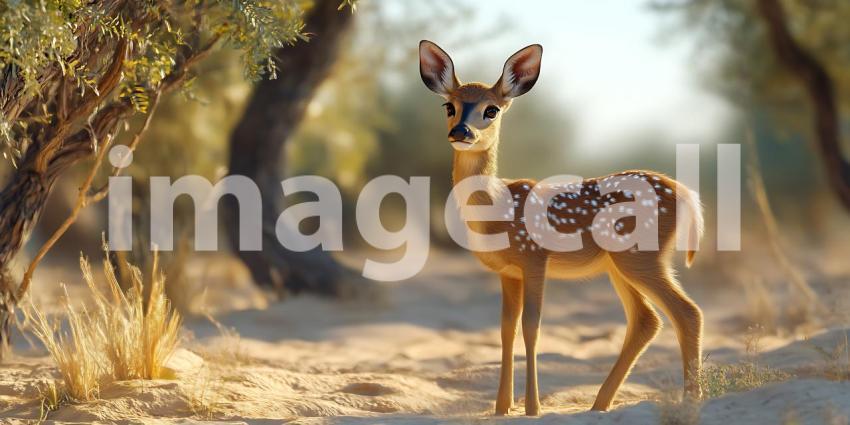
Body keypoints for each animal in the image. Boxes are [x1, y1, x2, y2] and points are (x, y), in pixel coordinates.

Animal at [419, 40, 704, 416]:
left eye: (491, 110)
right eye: (448, 106)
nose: (461, 132)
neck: (497, 208)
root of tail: (685, 193)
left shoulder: (535, 258)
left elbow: (532, 326)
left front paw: (532, 408)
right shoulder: (508, 272)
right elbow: (506, 329)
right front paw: (501, 407)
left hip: (641, 256)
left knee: (687, 312)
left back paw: (690, 400)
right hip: (621, 264)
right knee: (647, 320)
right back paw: (600, 404)